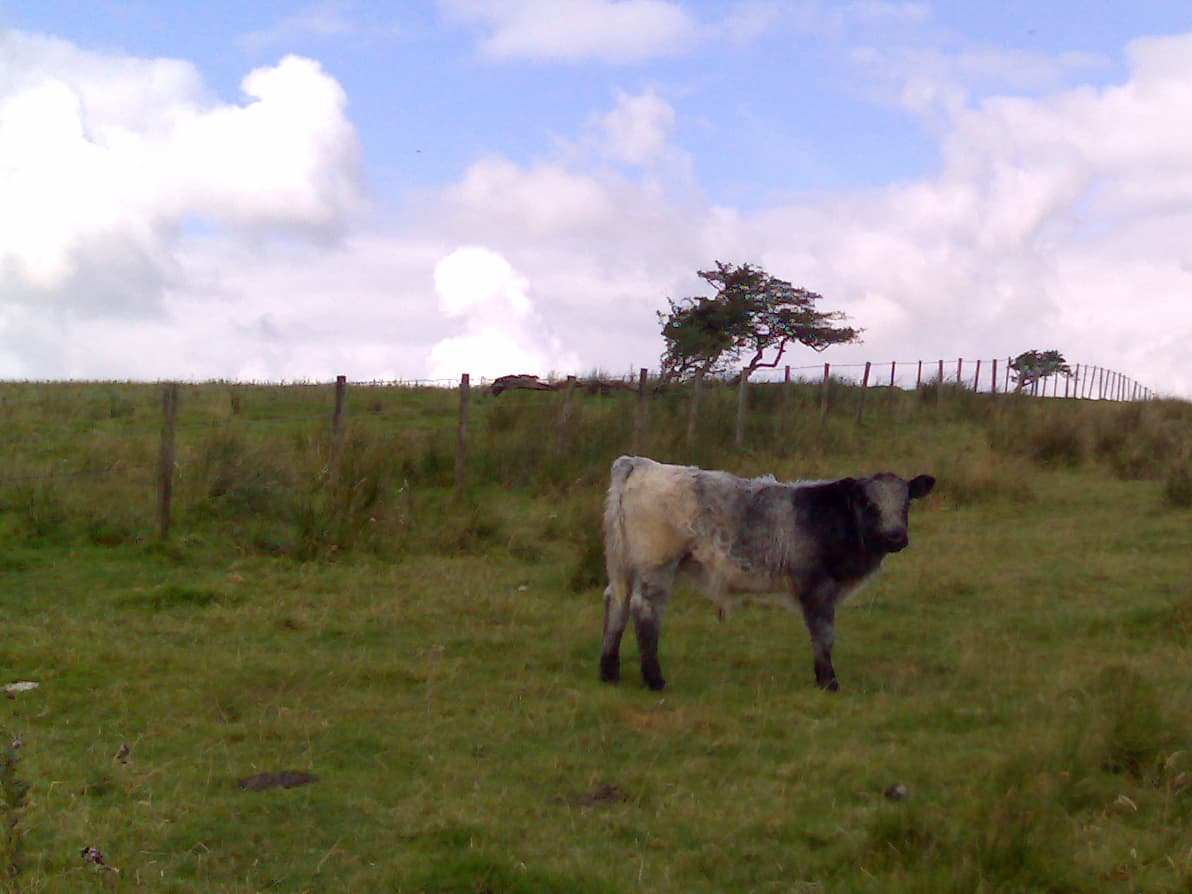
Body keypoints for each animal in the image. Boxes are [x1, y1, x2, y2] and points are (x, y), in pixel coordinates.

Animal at [599, 456, 935, 692]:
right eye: (868, 503)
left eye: (907, 502)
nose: (895, 537)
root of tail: (640, 464)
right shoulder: (818, 586)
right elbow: (823, 634)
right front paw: (828, 681)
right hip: (656, 564)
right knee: (645, 610)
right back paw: (654, 679)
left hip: (622, 563)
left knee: (616, 602)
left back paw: (609, 672)